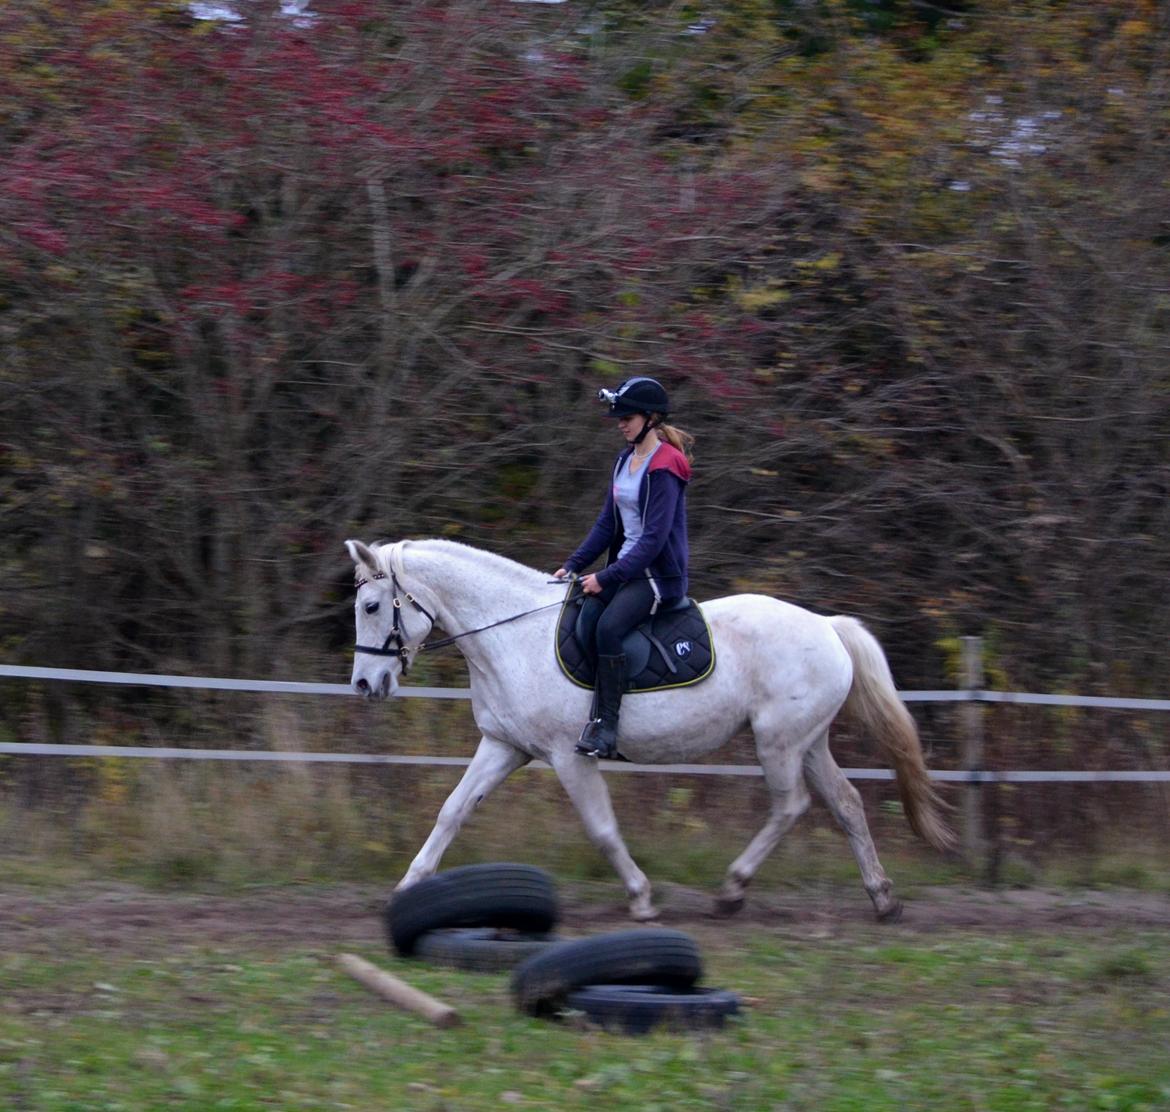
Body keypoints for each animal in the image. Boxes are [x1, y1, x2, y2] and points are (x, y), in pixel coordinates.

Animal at [343, 540, 950, 922]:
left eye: (371, 605)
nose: (366, 684)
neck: (511, 636)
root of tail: (827, 626)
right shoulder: (504, 746)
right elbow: (452, 811)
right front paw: (407, 888)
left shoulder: (570, 757)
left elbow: (603, 830)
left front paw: (640, 898)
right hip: (808, 743)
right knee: (846, 804)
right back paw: (883, 899)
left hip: (778, 743)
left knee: (791, 806)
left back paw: (732, 891)